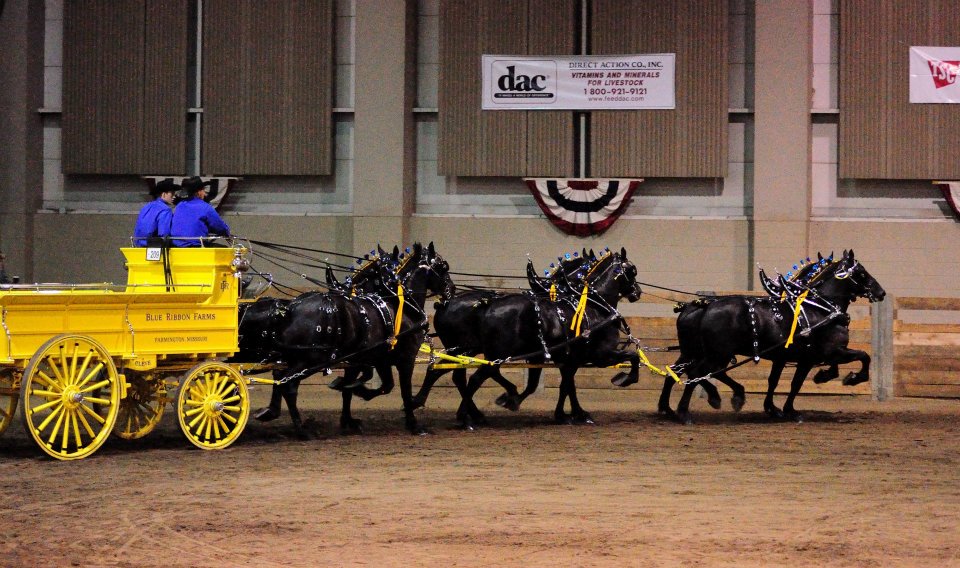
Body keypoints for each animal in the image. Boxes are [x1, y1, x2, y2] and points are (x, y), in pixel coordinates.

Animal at [660, 251, 884, 424]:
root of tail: (703, 305)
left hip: (694, 352)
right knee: (698, 372)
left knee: (677, 371)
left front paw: (774, 408)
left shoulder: (788, 357)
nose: (881, 292)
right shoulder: (824, 354)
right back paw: (690, 410)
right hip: (718, 353)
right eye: (862, 273)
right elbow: (862, 357)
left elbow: (775, 381)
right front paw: (852, 378)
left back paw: (668, 408)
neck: (820, 308)